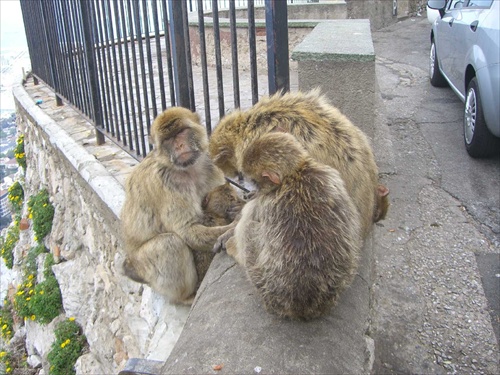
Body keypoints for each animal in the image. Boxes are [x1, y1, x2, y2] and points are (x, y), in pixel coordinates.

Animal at [122, 106, 236, 306]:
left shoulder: (209, 164)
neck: (188, 169)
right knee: (169, 243)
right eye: (168, 139)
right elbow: (187, 230)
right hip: (145, 269)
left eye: (181, 132)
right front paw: (234, 226)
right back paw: (187, 297)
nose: (179, 146)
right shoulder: (166, 182)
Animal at [222, 132, 360, 320]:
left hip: (261, 281)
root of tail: (302, 306)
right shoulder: (331, 175)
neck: (295, 173)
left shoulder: (266, 202)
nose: (254, 188)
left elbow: (253, 212)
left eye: (255, 180)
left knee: (249, 226)